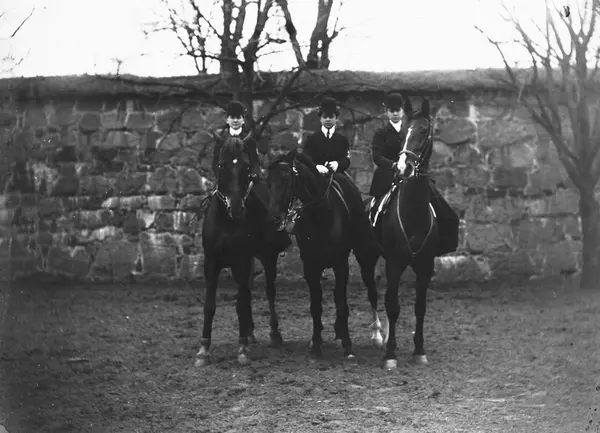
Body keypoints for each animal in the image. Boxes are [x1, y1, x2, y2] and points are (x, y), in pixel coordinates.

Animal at [196, 133, 289, 367]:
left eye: (246, 166)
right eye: (222, 164)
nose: (237, 207)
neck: (227, 221)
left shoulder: (242, 261)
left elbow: (241, 303)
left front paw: (242, 349)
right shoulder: (211, 263)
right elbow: (210, 305)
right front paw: (203, 350)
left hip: (267, 257)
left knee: (268, 292)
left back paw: (273, 334)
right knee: (247, 292)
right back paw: (249, 331)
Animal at [266, 150, 384, 360]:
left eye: (287, 179)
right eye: (268, 182)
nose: (273, 218)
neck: (321, 213)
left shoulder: (341, 263)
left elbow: (342, 304)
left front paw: (348, 346)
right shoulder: (310, 265)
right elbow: (316, 306)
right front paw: (316, 345)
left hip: (365, 257)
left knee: (371, 291)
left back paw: (376, 335)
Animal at [367, 98, 439, 370]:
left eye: (424, 130)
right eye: (404, 131)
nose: (403, 167)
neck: (413, 214)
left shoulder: (425, 265)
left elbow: (420, 307)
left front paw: (419, 350)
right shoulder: (395, 263)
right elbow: (393, 306)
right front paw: (390, 355)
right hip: (367, 258)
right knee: (375, 292)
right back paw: (379, 336)